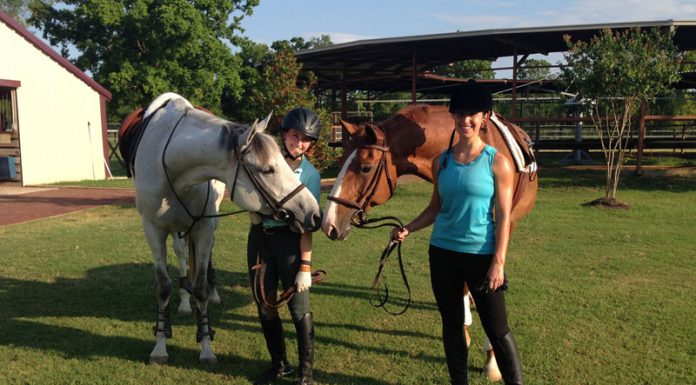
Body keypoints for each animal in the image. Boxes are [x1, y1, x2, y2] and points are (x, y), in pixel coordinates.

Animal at [124, 92, 320, 364]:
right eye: (267, 169)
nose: (314, 213)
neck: (172, 168)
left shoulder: (204, 227)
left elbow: (201, 289)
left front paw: (206, 346)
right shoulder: (153, 230)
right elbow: (163, 288)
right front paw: (160, 346)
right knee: (181, 254)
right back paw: (184, 302)